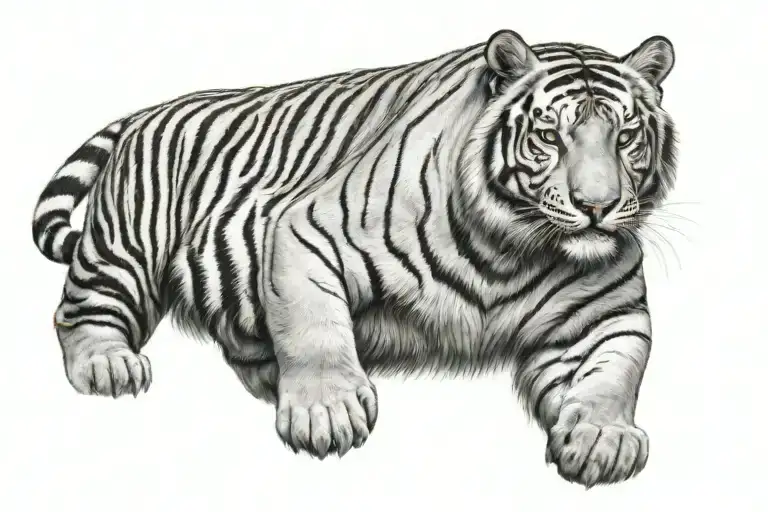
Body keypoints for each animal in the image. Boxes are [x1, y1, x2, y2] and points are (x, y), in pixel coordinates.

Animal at [31, 29, 677, 488]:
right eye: (550, 137)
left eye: (625, 137)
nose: (597, 207)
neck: (511, 250)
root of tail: (148, 111)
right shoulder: (306, 231)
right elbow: (315, 329)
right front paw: (326, 413)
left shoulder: (609, 315)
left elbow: (614, 372)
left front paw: (603, 440)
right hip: (126, 247)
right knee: (79, 312)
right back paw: (109, 368)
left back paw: (268, 377)